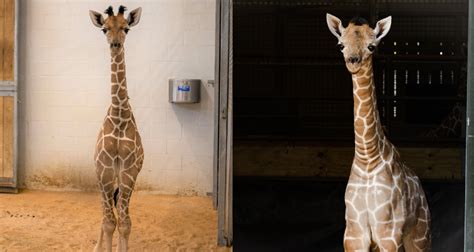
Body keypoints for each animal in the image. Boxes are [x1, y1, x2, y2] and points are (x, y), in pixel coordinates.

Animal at [326, 14, 434, 252]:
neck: (367, 157)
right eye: (340, 45)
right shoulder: (354, 235)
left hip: (420, 237)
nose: (353, 61)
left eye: (372, 46)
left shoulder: (388, 234)